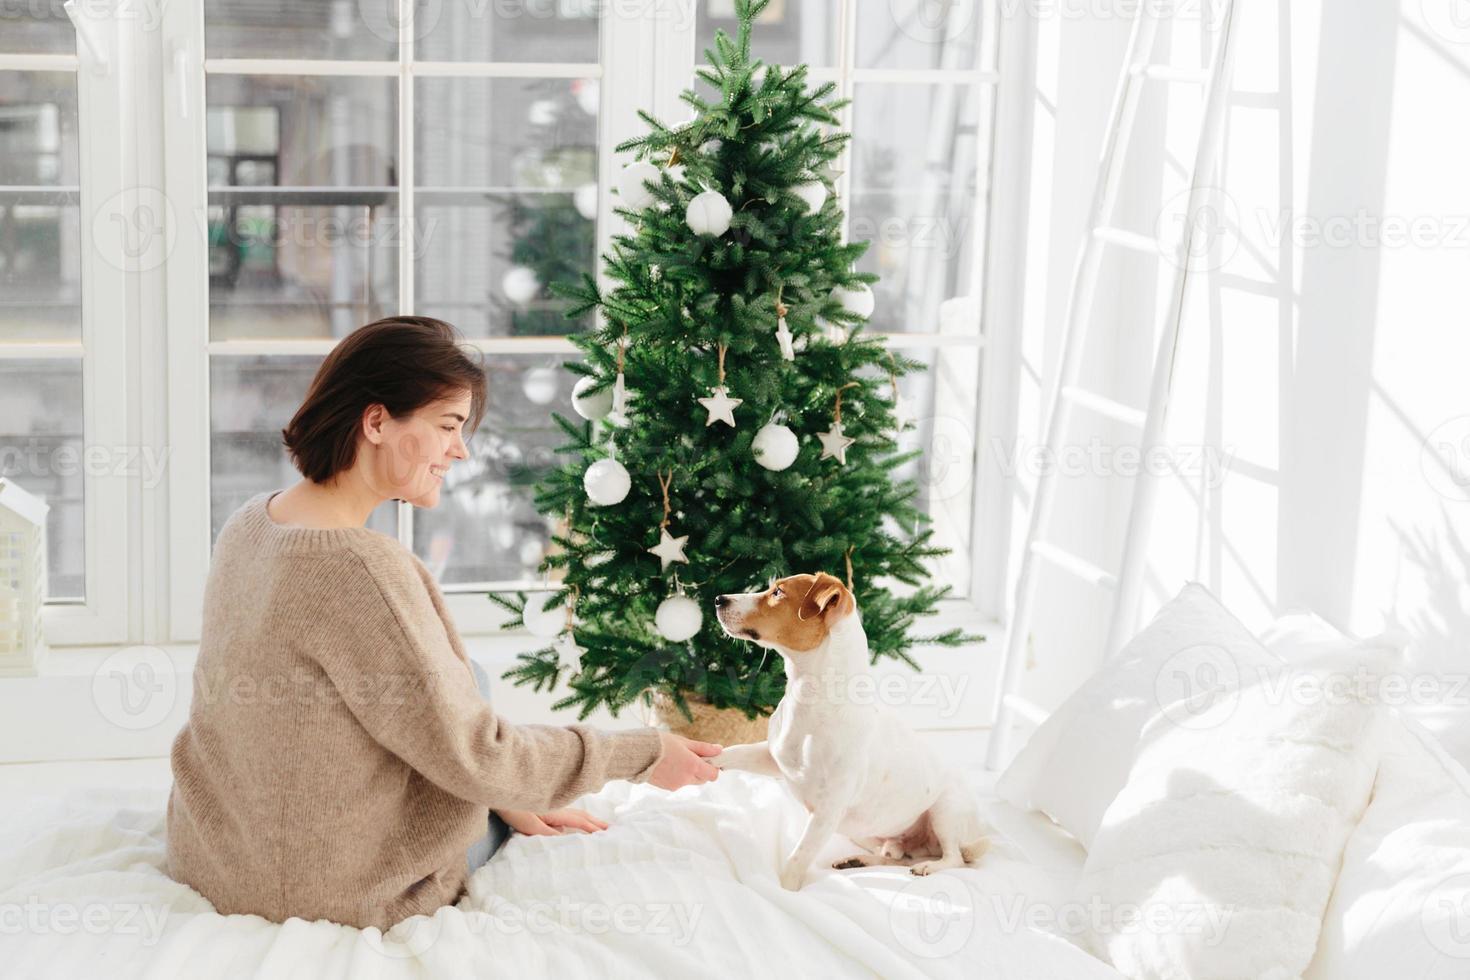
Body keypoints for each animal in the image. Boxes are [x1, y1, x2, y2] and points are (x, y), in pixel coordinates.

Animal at [711, 570, 987, 893]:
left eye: (778, 592)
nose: (718, 598)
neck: (808, 699)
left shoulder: (826, 814)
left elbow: (797, 859)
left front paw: (783, 891)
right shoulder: (773, 758)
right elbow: (731, 753)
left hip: (945, 811)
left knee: (953, 858)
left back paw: (929, 866)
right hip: (867, 832)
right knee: (896, 857)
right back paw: (860, 860)